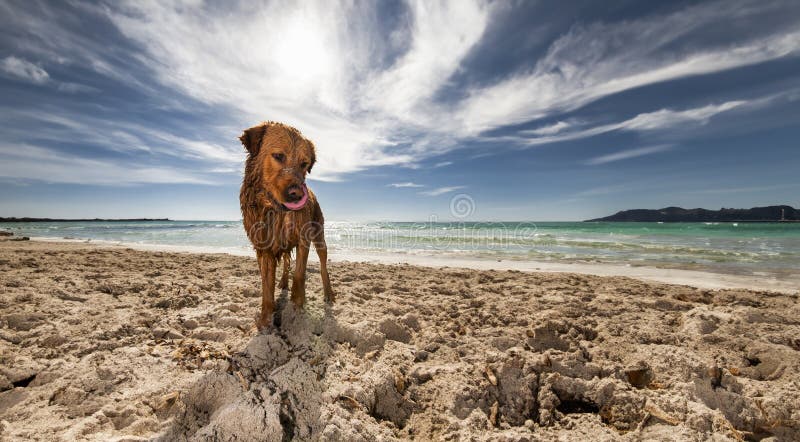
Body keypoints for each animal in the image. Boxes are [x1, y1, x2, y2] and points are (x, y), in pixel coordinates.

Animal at [241, 121, 334, 328]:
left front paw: (297, 306)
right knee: (285, 261)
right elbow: (266, 286)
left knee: (323, 266)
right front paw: (265, 319)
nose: (297, 194)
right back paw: (283, 282)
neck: (276, 211)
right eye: (278, 156)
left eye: (304, 164)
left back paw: (329, 293)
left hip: (319, 237)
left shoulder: (303, 240)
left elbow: (299, 274)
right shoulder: (264, 248)